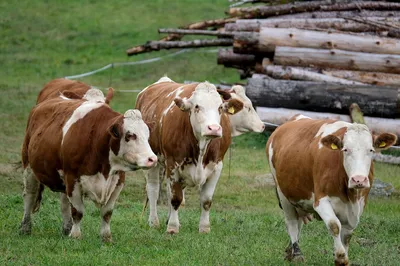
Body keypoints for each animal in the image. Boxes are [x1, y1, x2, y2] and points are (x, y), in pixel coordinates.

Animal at [20, 88, 157, 242]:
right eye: (130, 135)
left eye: (148, 135)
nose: (152, 159)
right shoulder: (72, 178)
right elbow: (77, 211)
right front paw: (75, 236)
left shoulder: (118, 181)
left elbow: (107, 212)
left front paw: (106, 237)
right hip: (29, 166)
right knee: (29, 195)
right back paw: (25, 227)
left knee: (64, 202)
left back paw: (66, 228)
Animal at [136, 76, 244, 233]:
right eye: (197, 106)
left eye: (220, 107)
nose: (214, 128)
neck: (201, 148)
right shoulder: (173, 164)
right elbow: (175, 198)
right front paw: (172, 228)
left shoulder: (217, 166)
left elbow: (206, 200)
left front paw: (204, 228)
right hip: (153, 160)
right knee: (153, 189)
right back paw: (153, 222)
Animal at [266, 116, 396, 266]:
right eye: (345, 149)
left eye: (371, 150)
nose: (358, 179)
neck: (350, 195)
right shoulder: (321, 201)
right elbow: (334, 225)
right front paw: (340, 257)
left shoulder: (358, 206)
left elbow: (347, 235)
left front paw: (343, 256)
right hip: (283, 193)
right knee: (292, 222)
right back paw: (297, 253)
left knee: (298, 222)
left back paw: (290, 252)